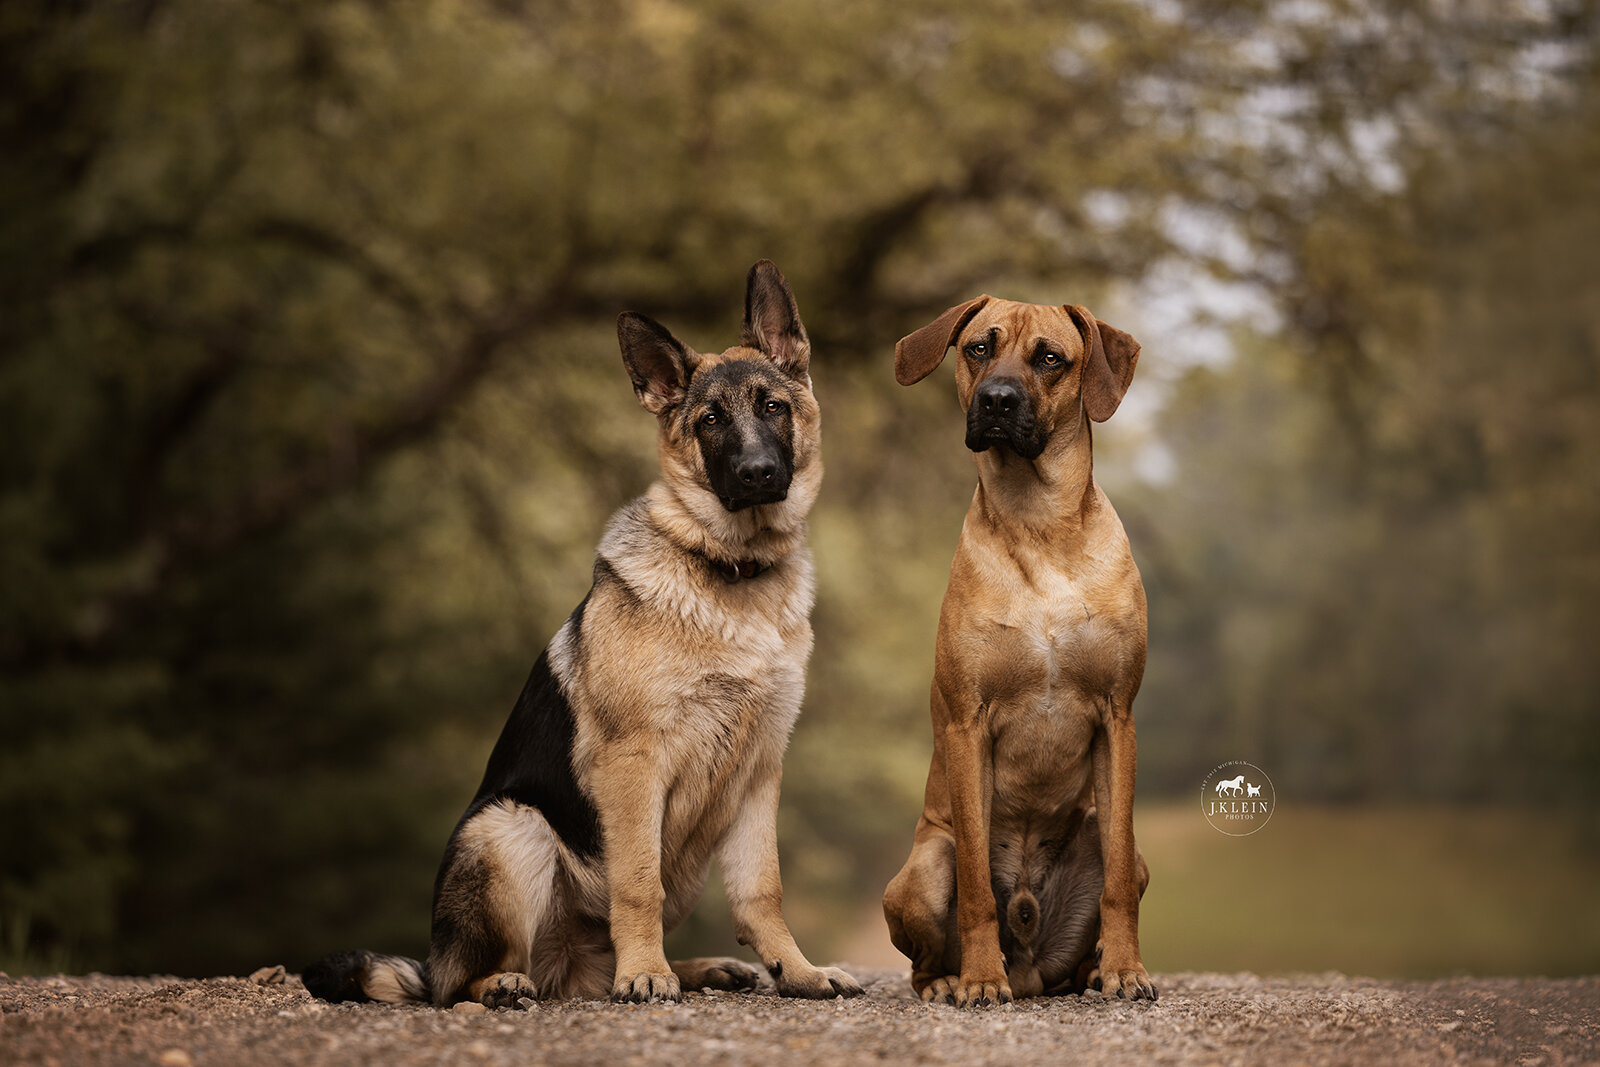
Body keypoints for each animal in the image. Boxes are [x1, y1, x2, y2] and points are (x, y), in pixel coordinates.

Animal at [300, 260, 864, 1011]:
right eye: (710, 421)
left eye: (772, 406)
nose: (756, 476)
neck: (730, 568)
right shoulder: (634, 763)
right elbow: (637, 881)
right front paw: (646, 974)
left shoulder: (760, 770)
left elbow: (761, 889)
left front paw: (795, 970)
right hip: (512, 826)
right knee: (463, 983)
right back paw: (524, 980)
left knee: (582, 971)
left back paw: (696, 968)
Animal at [883, 295, 1158, 1004]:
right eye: (978, 347)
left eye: (1050, 358)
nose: (998, 401)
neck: (1040, 526)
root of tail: (1031, 960)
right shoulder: (966, 723)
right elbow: (978, 887)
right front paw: (981, 979)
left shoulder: (1119, 717)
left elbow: (1119, 885)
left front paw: (1127, 969)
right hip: (924, 869)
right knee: (926, 952)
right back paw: (949, 979)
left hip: (1114, 843)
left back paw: (1093, 970)